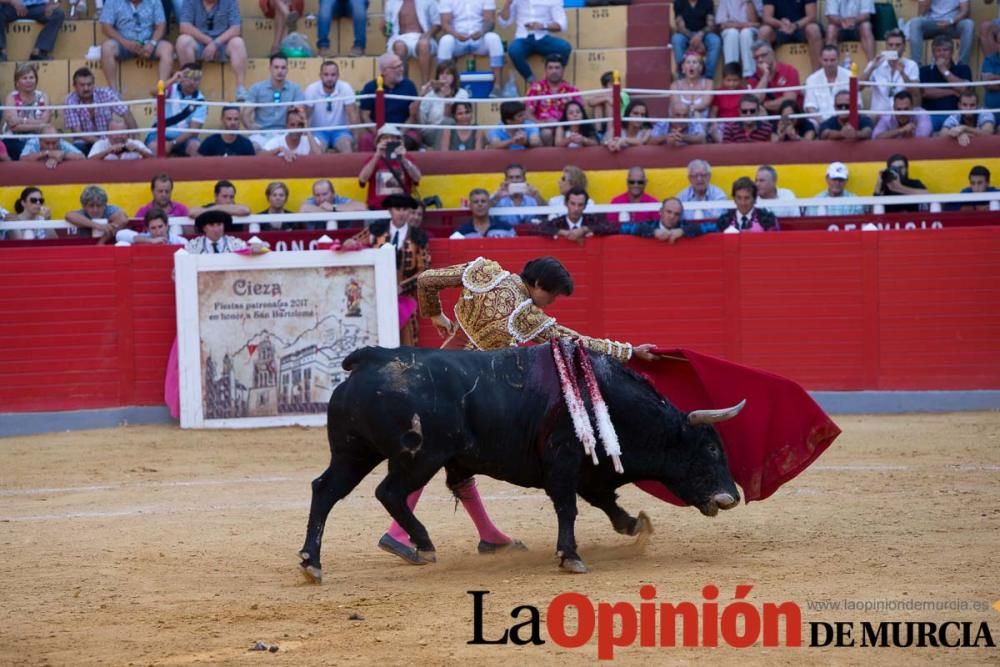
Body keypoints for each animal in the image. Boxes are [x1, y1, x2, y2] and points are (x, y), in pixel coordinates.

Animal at [300, 342, 748, 580]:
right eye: (711, 450)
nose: (731, 497)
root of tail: (372, 358)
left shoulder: (590, 470)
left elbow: (606, 503)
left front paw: (634, 525)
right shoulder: (563, 461)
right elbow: (568, 507)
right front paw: (571, 557)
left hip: (354, 452)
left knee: (326, 491)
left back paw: (311, 562)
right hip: (419, 456)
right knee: (389, 492)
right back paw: (422, 545)